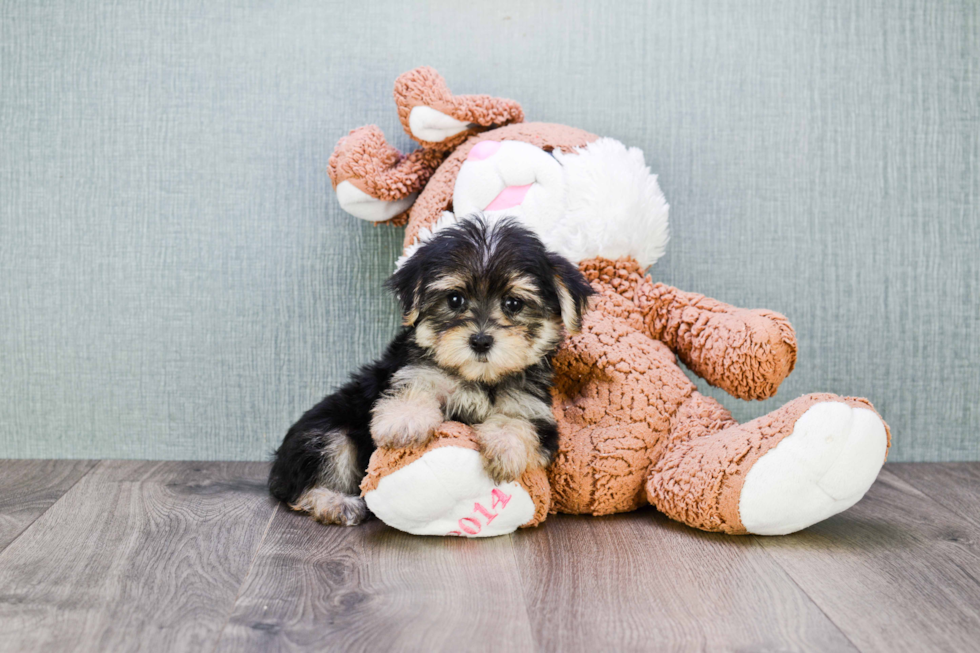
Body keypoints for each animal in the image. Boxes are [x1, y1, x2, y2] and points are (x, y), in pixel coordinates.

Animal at [264, 215, 592, 524]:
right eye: (455, 299)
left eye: (513, 303)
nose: (481, 340)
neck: (478, 378)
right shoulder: (413, 371)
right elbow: (415, 387)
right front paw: (405, 421)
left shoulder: (534, 409)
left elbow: (519, 423)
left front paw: (505, 449)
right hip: (326, 431)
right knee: (305, 482)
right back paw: (334, 502)